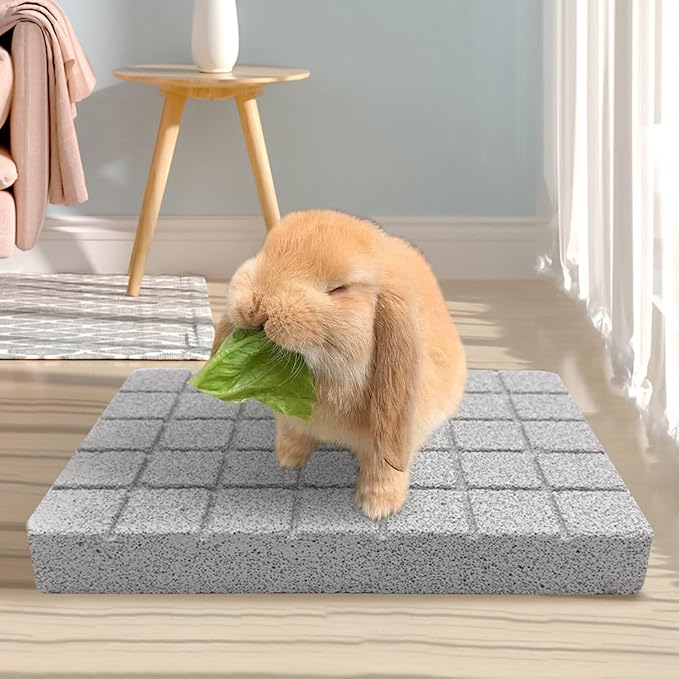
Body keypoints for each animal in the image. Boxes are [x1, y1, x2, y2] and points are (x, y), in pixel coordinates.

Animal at [212, 209, 467, 520]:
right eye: (263, 255)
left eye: (338, 289)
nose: (258, 307)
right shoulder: (290, 420)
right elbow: (293, 434)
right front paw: (287, 460)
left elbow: (384, 470)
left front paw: (378, 507)